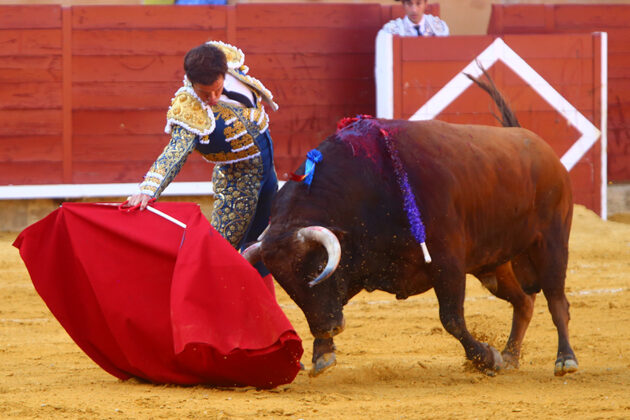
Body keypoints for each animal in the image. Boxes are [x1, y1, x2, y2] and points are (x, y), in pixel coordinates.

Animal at [244, 71, 580, 378]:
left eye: (315, 269)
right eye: (286, 285)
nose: (329, 328)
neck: (368, 188)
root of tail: (534, 142)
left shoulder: (447, 263)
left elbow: (452, 318)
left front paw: (486, 358)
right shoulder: (360, 263)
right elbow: (337, 298)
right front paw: (323, 353)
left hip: (551, 243)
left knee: (556, 300)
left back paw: (564, 360)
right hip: (495, 265)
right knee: (523, 301)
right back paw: (511, 356)